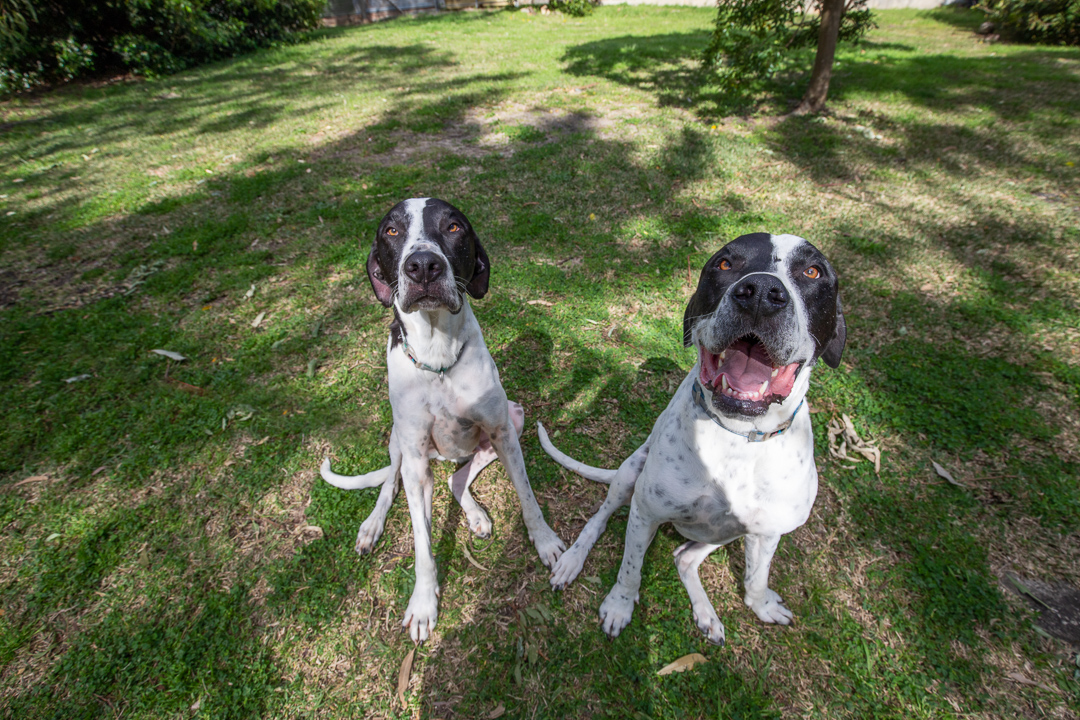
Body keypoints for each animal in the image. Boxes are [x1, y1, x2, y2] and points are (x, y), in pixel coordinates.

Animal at [319, 195, 570, 643]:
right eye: (391, 230)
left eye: (453, 227)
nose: (422, 266)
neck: (438, 358)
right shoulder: (416, 460)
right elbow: (422, 541)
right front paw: (423, 603)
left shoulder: (504, 432)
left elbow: (527, 498)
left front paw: (545, 542)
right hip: (398, 443)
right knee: (391, 483)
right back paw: (372, 526)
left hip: (513, 419)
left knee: (456, 480)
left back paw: (474, 513)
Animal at [540, 232, 842, 643]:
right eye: (724, 263)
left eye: (813, 272)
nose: (762, 293)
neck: (737, 437)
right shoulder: (645, 512)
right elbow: (630, 568)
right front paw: (619, 605)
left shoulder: (766, 533)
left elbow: (757, 577)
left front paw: (761, 604)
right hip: (629, 475)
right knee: (598, 519)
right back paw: (572, 560)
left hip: (723, 534)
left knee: (683, 558)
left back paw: (707, 615)